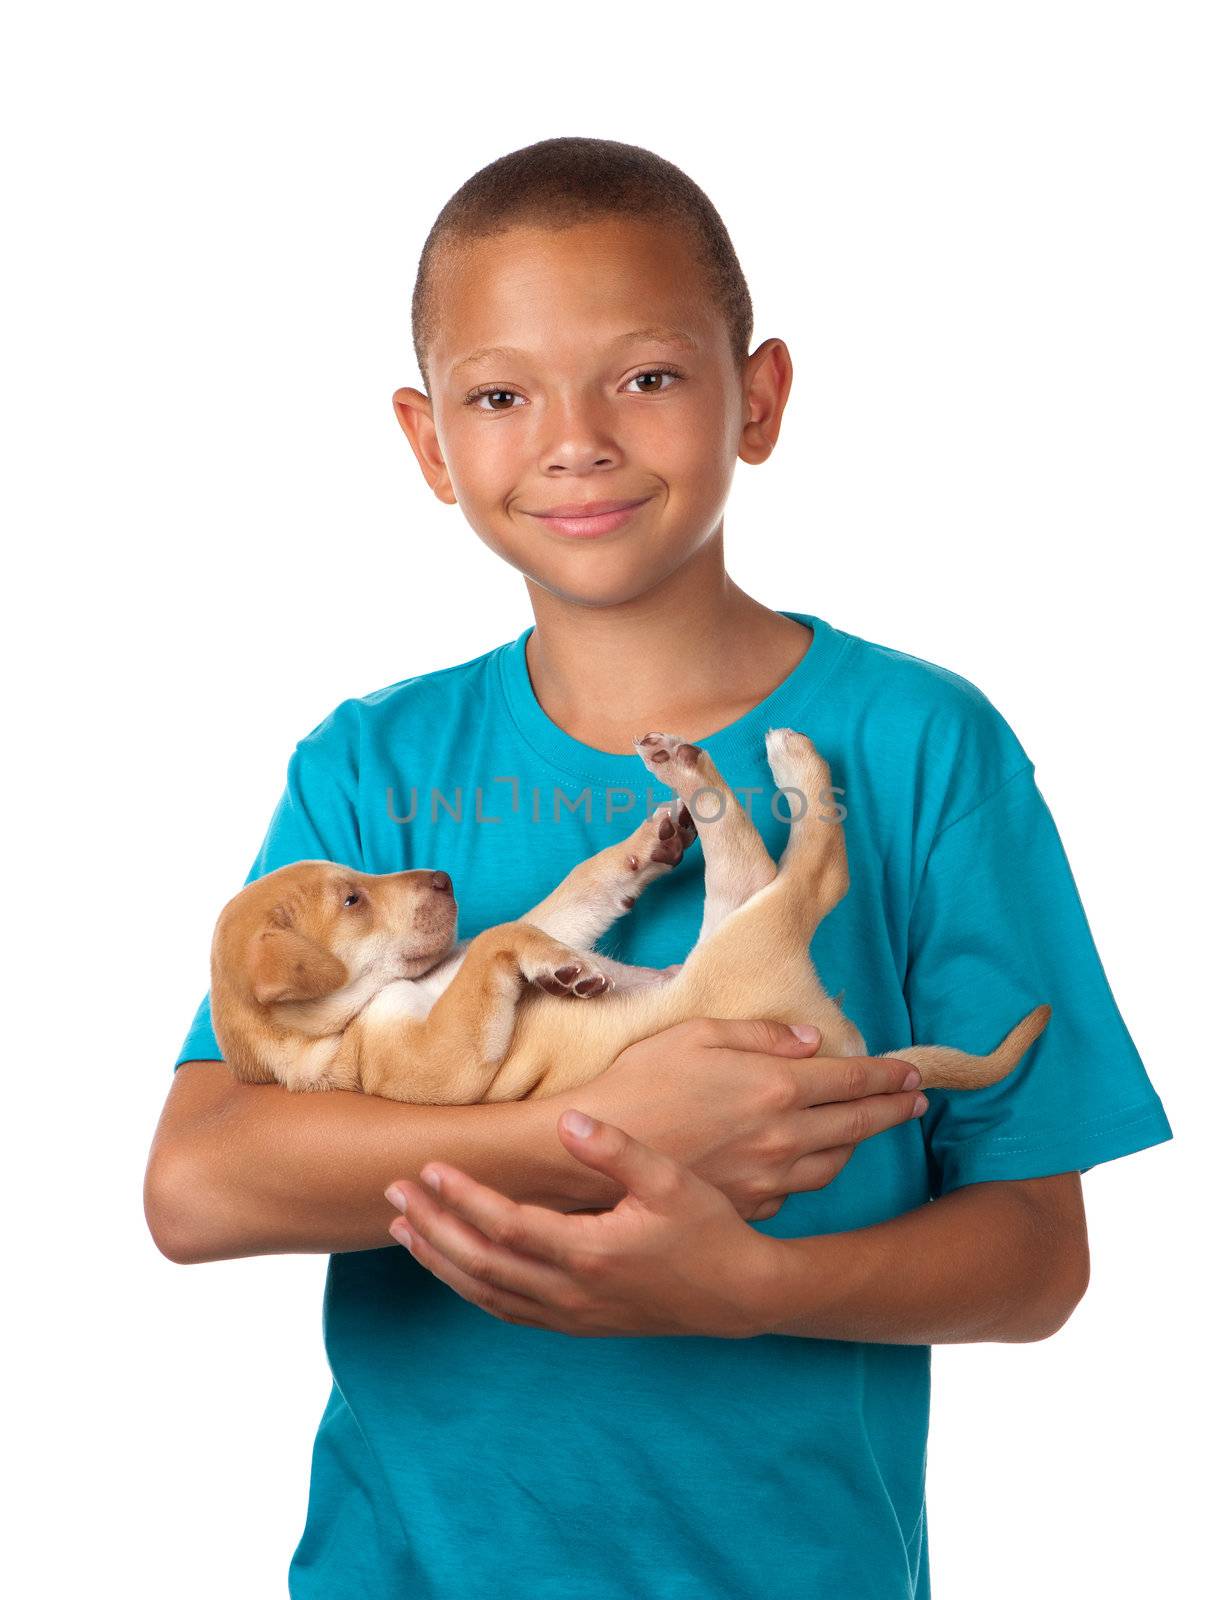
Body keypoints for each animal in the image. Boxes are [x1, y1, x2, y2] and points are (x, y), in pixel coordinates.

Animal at [208, 732, 1049, 1107]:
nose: (444, 878)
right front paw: (559, 969)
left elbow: (565, 900)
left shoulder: (495, 948)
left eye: (358, 880)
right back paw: (759, 766)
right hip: (744, 946)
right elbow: (504, 945)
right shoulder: (437, 1065)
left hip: (735, 924)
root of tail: (848, 1049)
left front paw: (640, 855)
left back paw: (704, 776)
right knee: (814, 875)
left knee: (761, 865)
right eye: (352, 900)